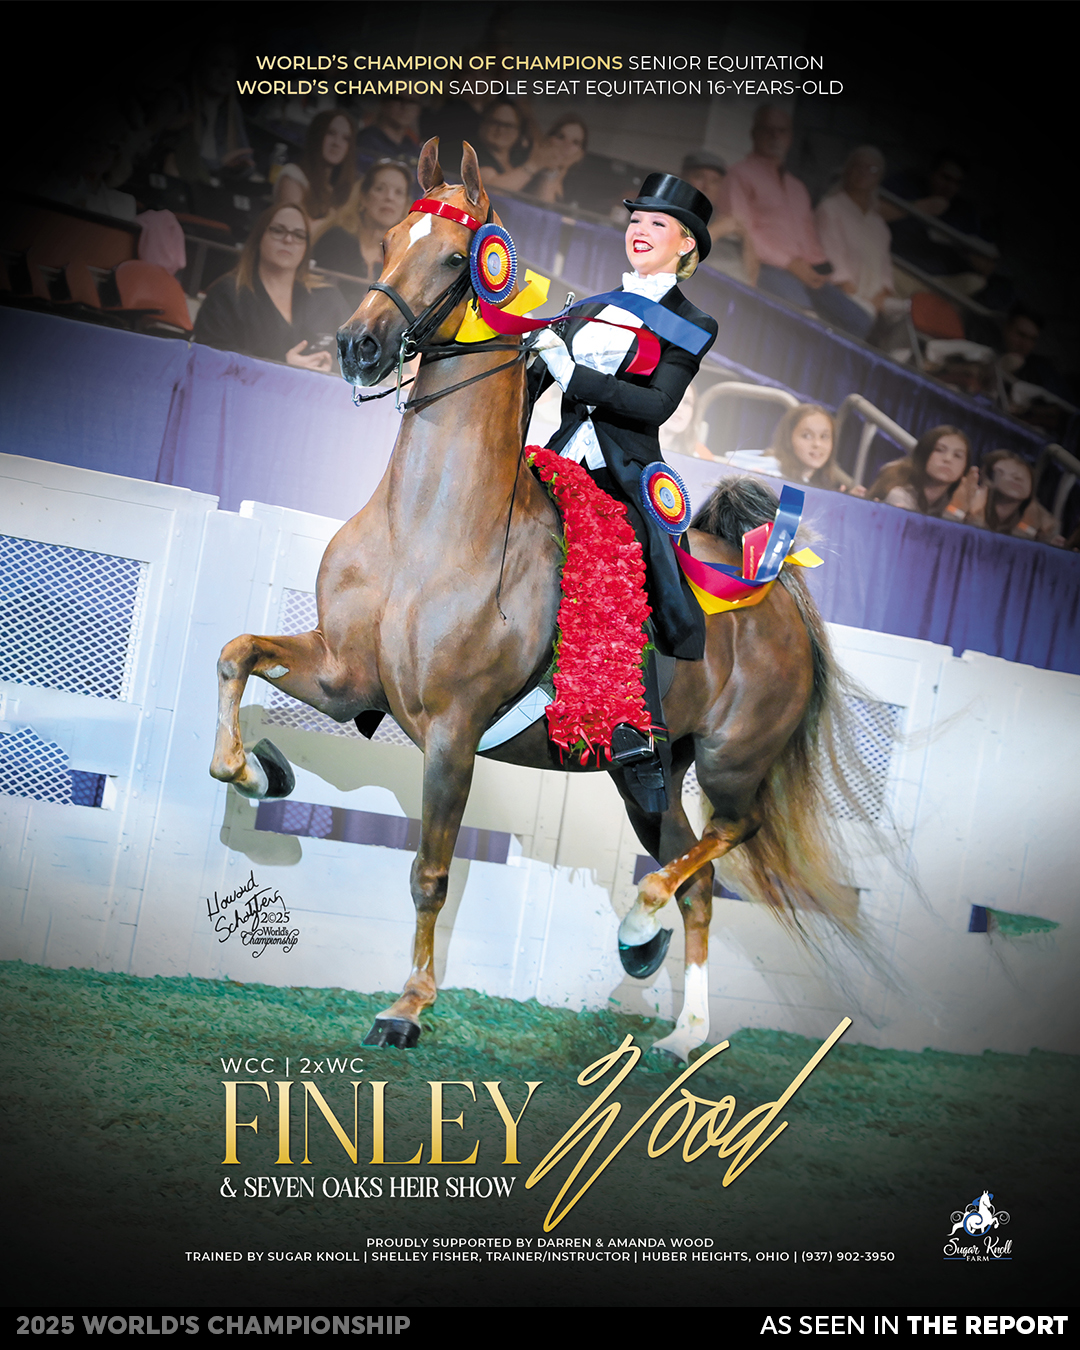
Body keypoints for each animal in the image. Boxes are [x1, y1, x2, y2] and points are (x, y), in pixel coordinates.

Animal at [210, 139, 866, 1063]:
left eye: (457, 258)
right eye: (387, 238)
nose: (358, 346)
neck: (428, 524)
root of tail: (775, 590)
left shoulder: (451, 729)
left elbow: (430, 872)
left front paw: (407, 1007)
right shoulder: (345, 677)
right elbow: (236, 653)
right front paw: (255, 769)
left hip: (733, 761)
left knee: (729, 839)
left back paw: (639, 930)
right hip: (648, 774)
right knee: (697, 882)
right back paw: (682, 1031)